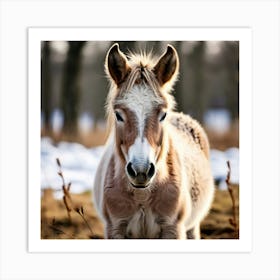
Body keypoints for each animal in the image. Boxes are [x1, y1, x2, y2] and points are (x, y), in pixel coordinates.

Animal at [93, 43, 214, 238]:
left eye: (163, 114)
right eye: (118, 115)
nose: (140, 171)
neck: (142, 195)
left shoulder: (173, 229)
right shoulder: (115, 229)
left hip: (192, 227)